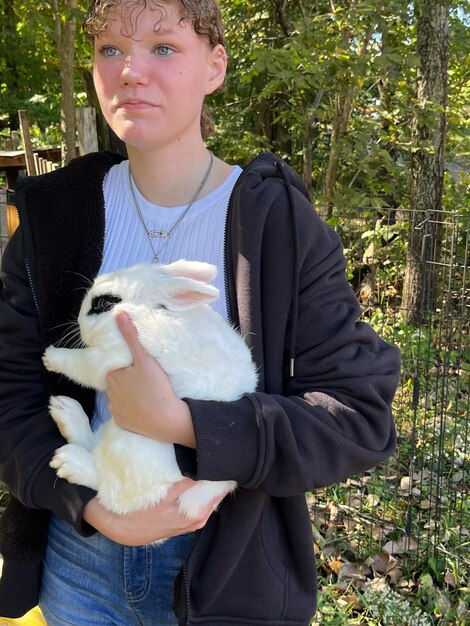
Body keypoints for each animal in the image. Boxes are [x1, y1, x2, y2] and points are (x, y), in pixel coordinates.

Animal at [43, 258, 258, 520]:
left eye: (106, 303)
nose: (80, 322)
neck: (141, 312)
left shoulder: (110, 358)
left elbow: (81, 365)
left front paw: (51, 356)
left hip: (131, 448)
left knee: (110, 492)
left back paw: (68, 462)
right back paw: (64, 411)